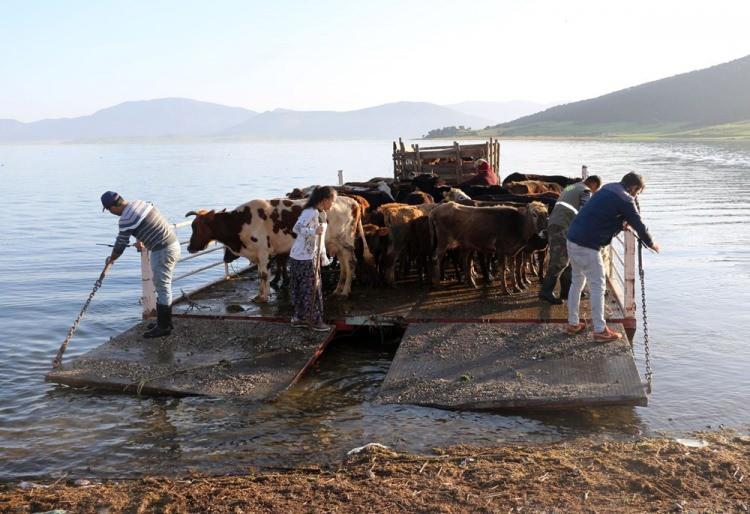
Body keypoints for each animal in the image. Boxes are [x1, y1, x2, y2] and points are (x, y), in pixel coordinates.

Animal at [187, 195, 374, 300]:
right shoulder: (259, 254)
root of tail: (352, 201)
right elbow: (262, 274)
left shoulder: (263, 251)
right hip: (336, 244)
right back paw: (338, 290)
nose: (189, 247)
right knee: (344, 266)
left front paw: (263, 297)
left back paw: (345, 292)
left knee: (351, 263)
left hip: (345, 242)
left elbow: (263, 275)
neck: (240, 223)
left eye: (196, 226)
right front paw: (260, 294)